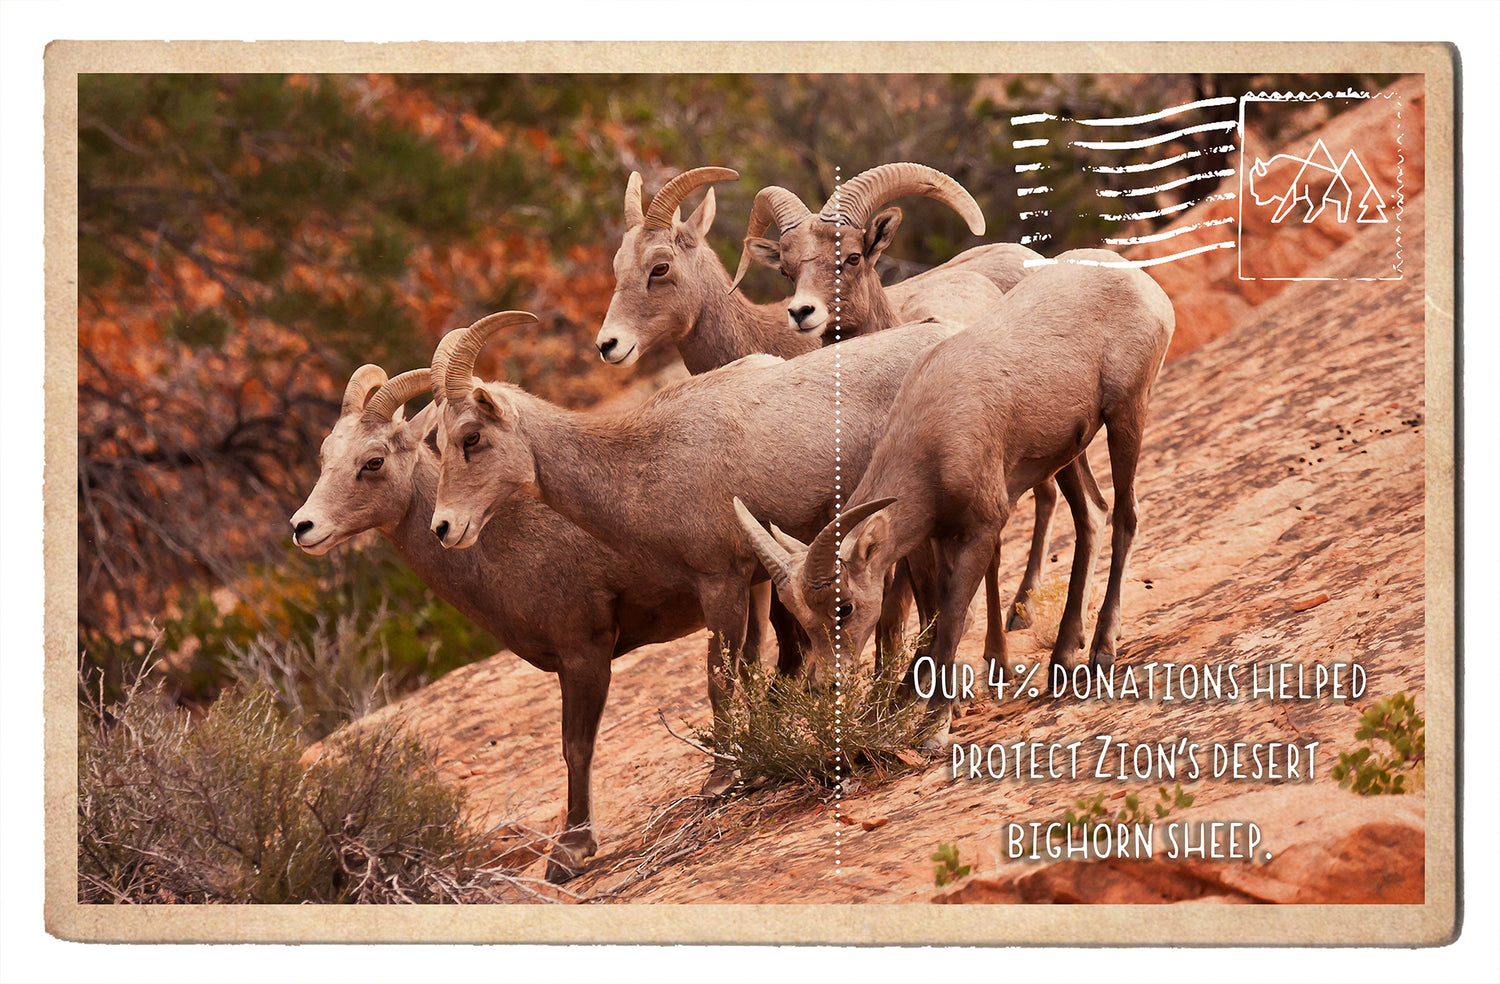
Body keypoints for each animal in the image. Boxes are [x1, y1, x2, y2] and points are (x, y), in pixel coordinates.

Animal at [289, 363, 709, 883]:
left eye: (373, 462)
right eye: (326, 455)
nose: (302, 527)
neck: (507, 540)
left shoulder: (584, 654)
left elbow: (575, 747)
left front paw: (568, 854)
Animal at [426, 311, 966, 795]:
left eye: (471, 437)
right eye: (439, 443)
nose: (444, 527)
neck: (640, 465)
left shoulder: (721, 581)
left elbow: (719, 679)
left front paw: (722, 778)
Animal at [734, 250, 1174, 740]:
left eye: (844, 607)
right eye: (801, 617)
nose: (823, 687)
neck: (934, 437)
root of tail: (1135, 277)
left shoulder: (981, 529)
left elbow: (952, 618)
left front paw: (933, 729)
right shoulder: (941, 537)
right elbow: (938, 615)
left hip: (1125, 415)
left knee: (1125, 516)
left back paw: (1100, 651)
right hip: (1067, 452)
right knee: (1093, 515)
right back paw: (1061, 661)